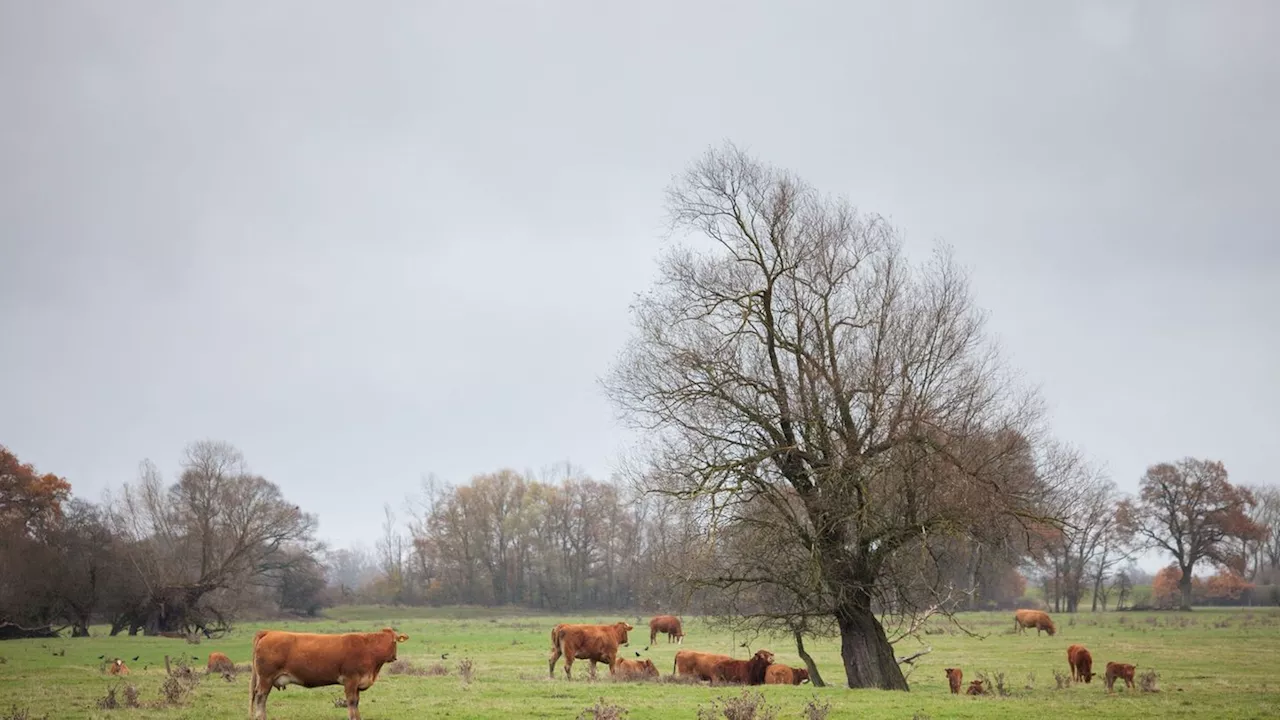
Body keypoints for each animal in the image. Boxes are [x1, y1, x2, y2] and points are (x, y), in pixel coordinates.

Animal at [247, 622, 407, 717]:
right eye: (394, 642)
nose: (394, 657)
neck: (368, 650)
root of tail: (269, 632)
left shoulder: (357, 684)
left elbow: (356, 703)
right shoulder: (350, 680)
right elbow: (351, 703)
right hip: (266, 679)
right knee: (260, 698)